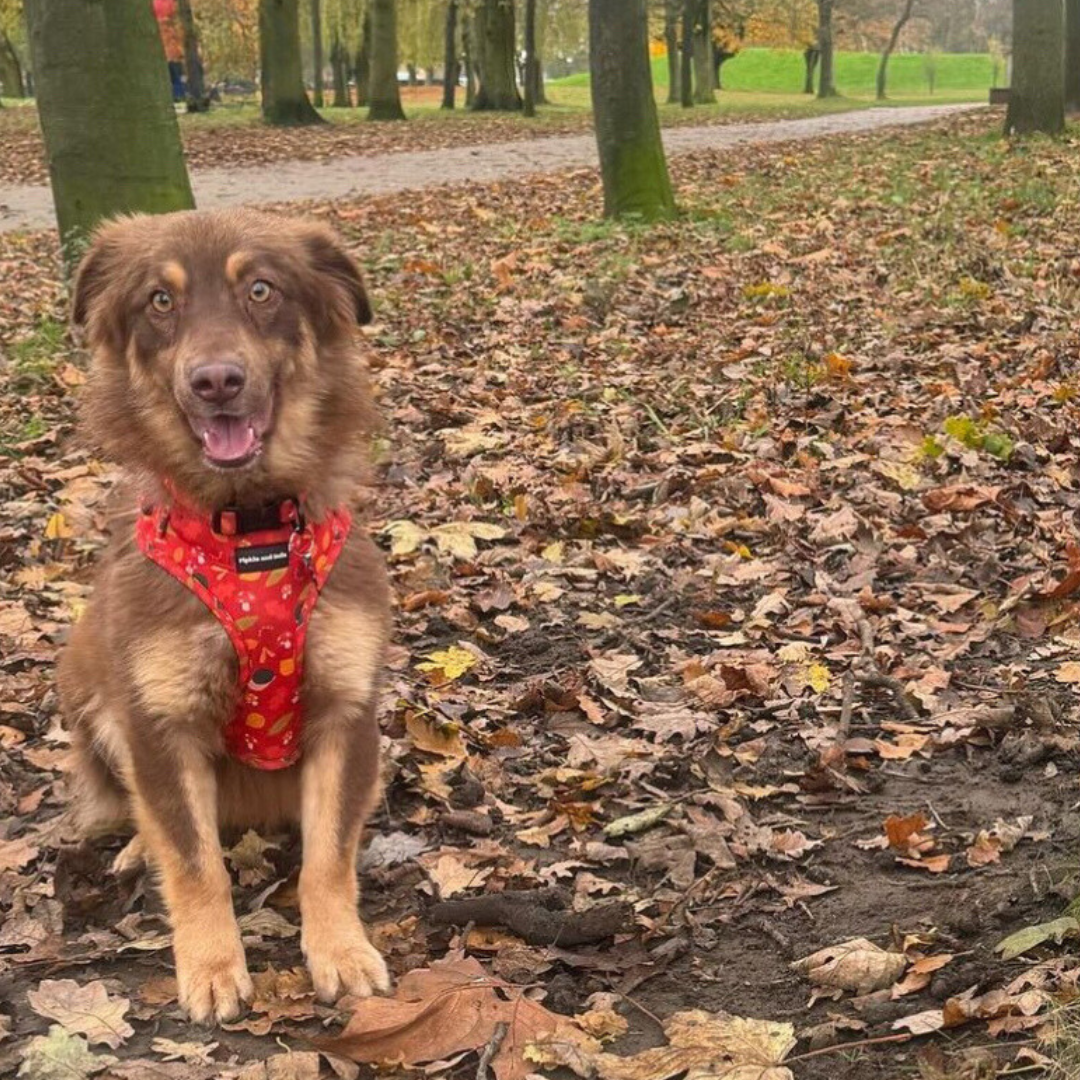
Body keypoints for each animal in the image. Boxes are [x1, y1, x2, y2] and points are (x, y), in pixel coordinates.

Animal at [59, 208, 393, 1019]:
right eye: (159, 300)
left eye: (262, 289)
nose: (215, 381)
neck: (250, 532)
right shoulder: (158, 722)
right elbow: (193, 860)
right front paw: (211, 965)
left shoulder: (347, 713)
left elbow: (329, 856)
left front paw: (340, 951)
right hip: (85, 694)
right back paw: (137, 845)